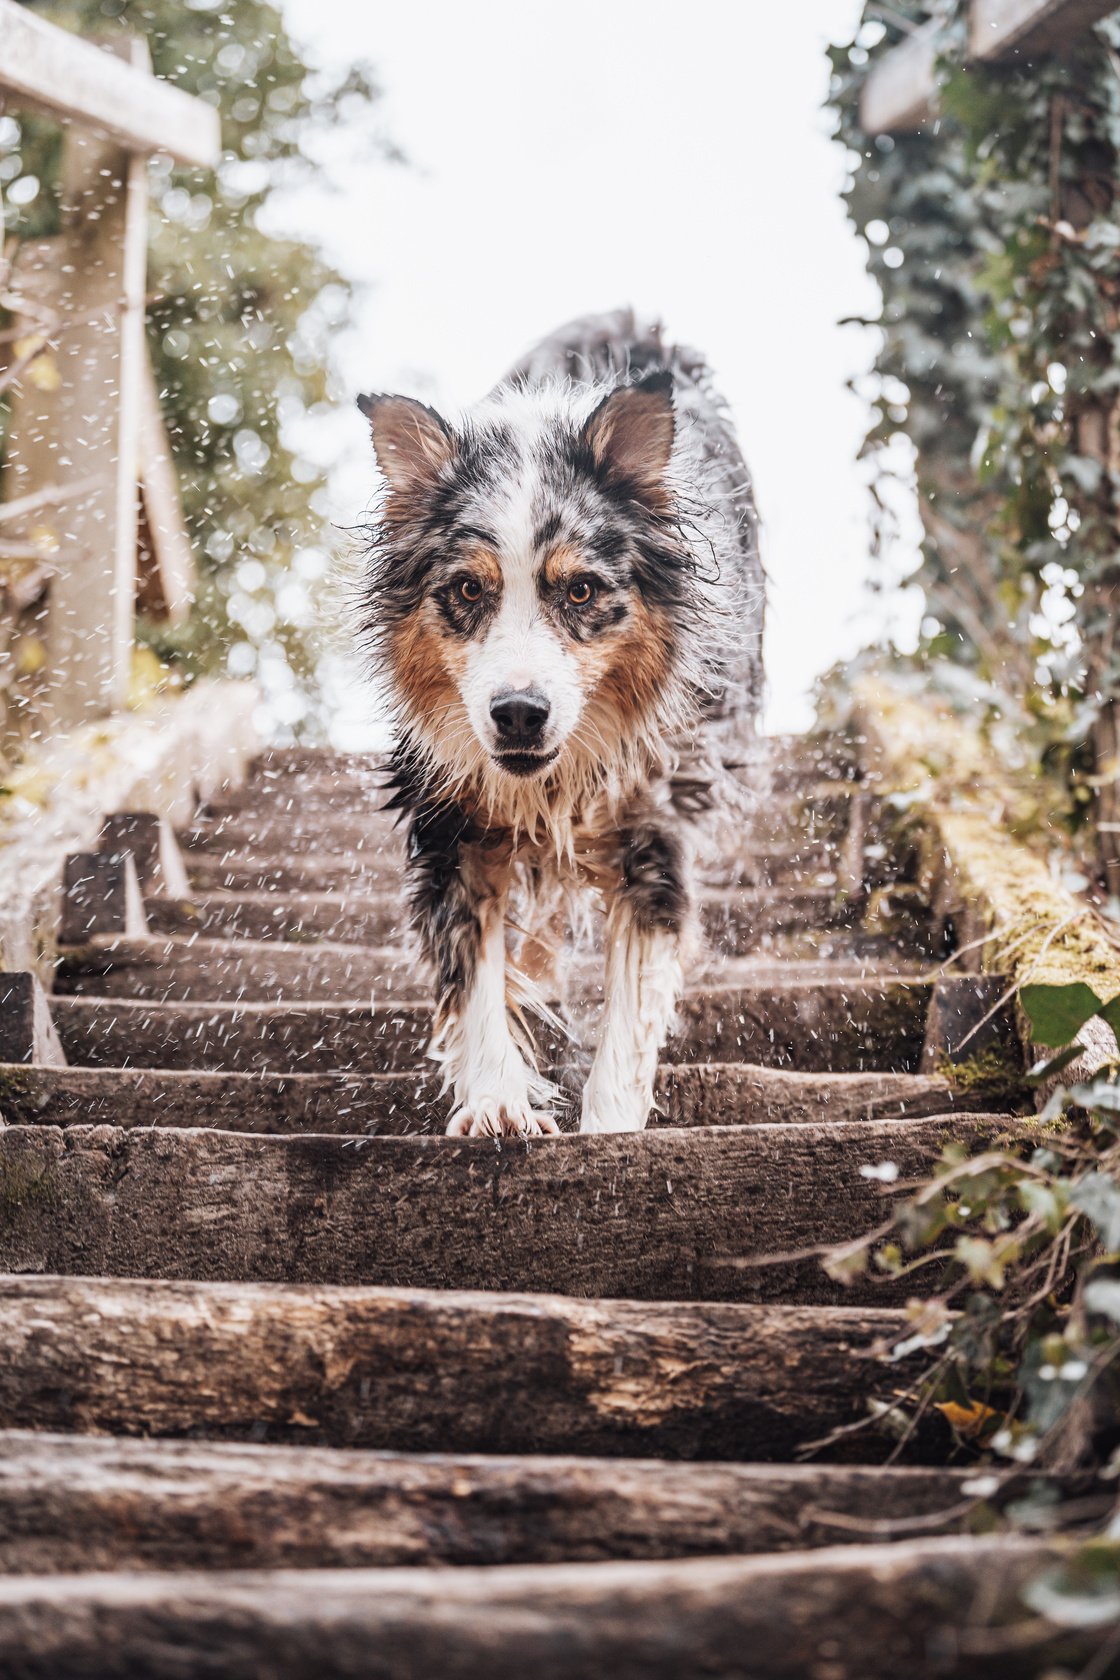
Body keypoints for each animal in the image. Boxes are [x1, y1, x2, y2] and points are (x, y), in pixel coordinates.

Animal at [359, 309, 762, 1135]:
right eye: (467, 590)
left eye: (580, 591)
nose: (518, 713)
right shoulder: (448, 818)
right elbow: (473, 973)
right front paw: (496, 1100)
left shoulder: (659, 823)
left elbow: (632, 1012)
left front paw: (608, 1129)